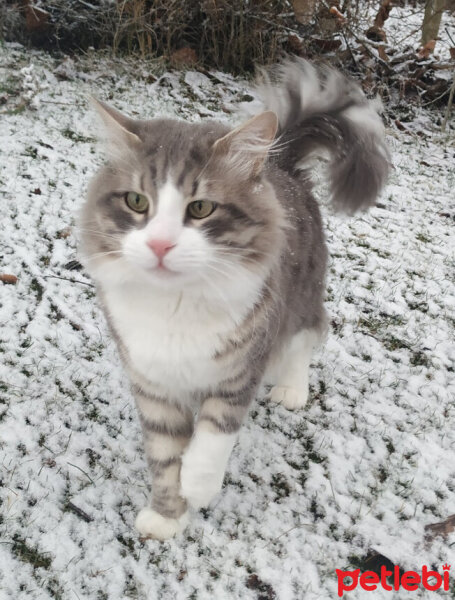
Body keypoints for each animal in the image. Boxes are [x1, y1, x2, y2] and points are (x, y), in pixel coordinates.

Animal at [77, 58, 388, 540]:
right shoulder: (152, 382)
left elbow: (213, 436)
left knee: (310, 333)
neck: (174, 305)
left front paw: (198, 486)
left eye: (201, 208)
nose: (160, 245)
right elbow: (164, 455)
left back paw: (292, 388)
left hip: (303, 296)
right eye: (136, 201)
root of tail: (280, 164)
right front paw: (167, 515)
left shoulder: (241, 368)